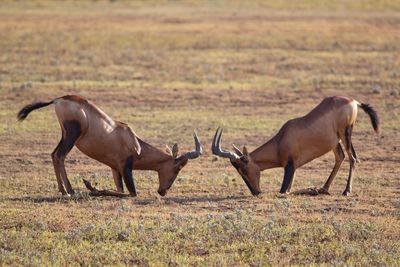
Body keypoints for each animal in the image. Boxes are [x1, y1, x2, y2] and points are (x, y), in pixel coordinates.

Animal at [16, 95, 202, 198]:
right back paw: (69, 191)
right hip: (72, 134)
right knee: (59, 155)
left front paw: (91, 187)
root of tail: (59, 99)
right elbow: (131, 193)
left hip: (65, 134)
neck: (134, 140)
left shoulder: (115, 169)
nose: (162, 191)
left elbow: (119, 188)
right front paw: (92, 187)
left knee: (54, 154)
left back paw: (64, 190)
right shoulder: (126, 167)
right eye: (178, 167)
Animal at [211, 96, 380, 197]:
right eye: (238, 171)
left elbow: (284, 192)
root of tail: (353, 101)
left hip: (345, 133)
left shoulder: (290, 167)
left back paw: (345, 191)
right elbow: (289, 189)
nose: (256, 192)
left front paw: (312, 189)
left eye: (244, 169)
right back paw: (324, 188)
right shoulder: (292, 168)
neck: (281, 140)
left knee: (353, 158)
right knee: (341, 157)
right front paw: (315, 189)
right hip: (335, 141)